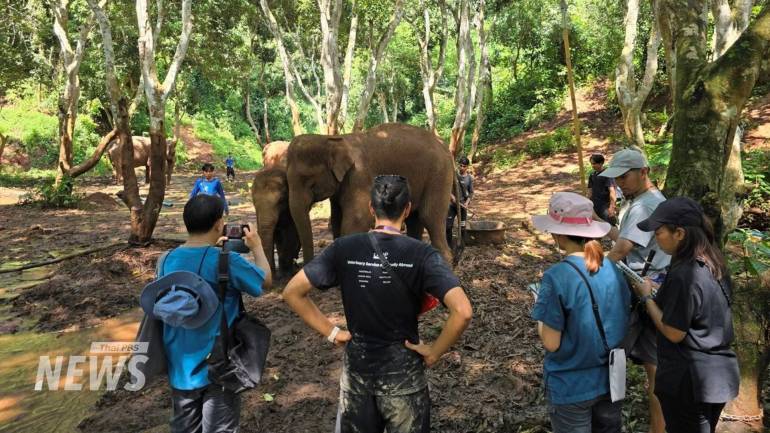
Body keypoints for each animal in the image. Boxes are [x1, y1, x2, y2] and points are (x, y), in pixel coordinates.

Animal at [288, 121, 456, 264]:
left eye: (309, 182)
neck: (333, 140)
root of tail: (445, 146)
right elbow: (336, 220)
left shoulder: (359, 175)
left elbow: (358, 219)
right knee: (414, 220)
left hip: (439, 175)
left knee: (429, 217)